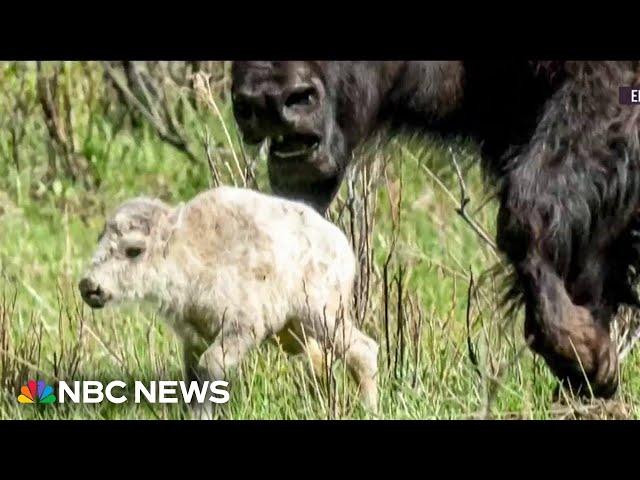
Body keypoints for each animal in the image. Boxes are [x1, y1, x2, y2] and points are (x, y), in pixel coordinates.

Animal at [80, 186, 380, 418]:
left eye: (134, 250)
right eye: (100, 239)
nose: (89, 286)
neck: (187, 250)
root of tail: (342, 245)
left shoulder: (242, 327)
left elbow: (210, 367)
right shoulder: (194, 337)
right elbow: (192, 376)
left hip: (322, 314)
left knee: (362, 350)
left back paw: (369, 409)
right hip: (295, 332)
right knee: (320, 362)